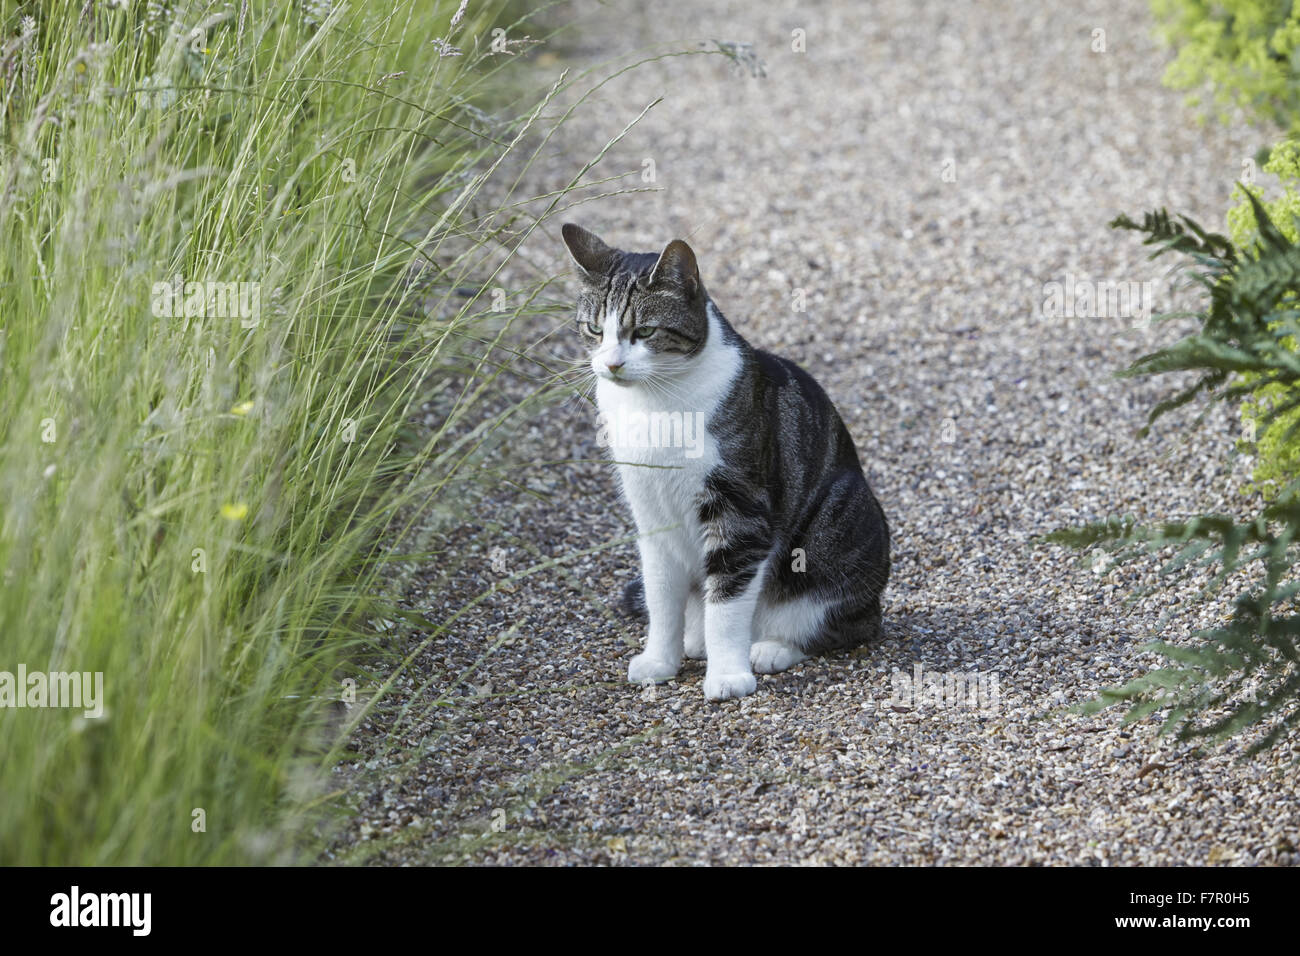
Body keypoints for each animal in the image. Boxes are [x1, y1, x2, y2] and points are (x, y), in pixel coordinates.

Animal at [564, 223, 889, 702]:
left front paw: (728, 676)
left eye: (644, 331)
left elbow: (727, 603)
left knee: (843, 625)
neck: (653, 405)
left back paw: (769, 648)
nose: (612, 364)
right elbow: (660, 596)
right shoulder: (650, 514)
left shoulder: (739, 510)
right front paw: (660, 661)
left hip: (845, 519)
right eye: (593, 329)